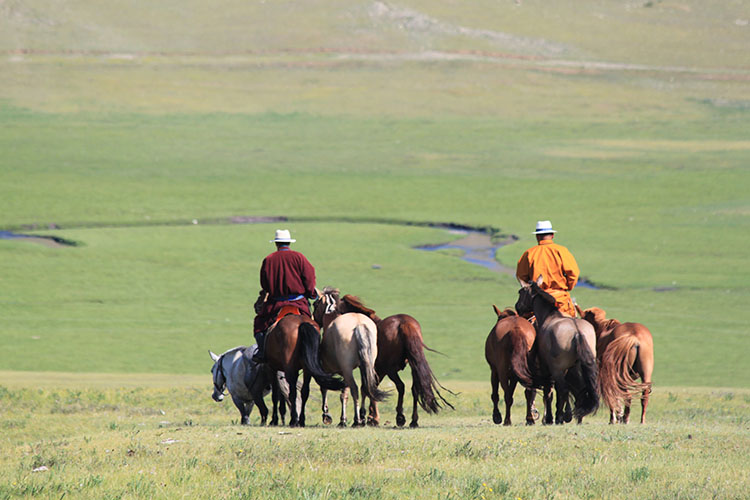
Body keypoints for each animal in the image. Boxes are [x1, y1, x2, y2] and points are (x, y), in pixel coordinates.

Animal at [312, 287, 387, 427]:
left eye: (315, 304)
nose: (314, 319)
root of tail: (359, 324)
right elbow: (344, 395)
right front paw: (344, 419)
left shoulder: (328, 370)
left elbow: (326, 389)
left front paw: (327, 415)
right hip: (366, 365)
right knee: (364, 388)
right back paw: (361, 416)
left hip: (347, 370)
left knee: (355, 390)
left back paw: (357, 420)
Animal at [331, 290, 454, 428]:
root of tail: (405, 323)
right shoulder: (378, 370)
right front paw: (372, 417)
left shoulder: (376, 369)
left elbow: (368, 388)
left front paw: (369, 417)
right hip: (413, 365)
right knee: (415, 389)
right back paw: (413, 420)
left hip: (391, 370)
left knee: (401, 386)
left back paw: (400, 417)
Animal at [515, 276, 599, 424]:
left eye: (520, 291)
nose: (517, 307)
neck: (549, 315)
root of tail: (577, 332)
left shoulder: (548, 368)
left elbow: (549, 393)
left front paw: (551, 417)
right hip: (579, 366)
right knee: (581, 389)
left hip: (558, 369)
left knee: (563, 389)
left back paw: (561, 416)